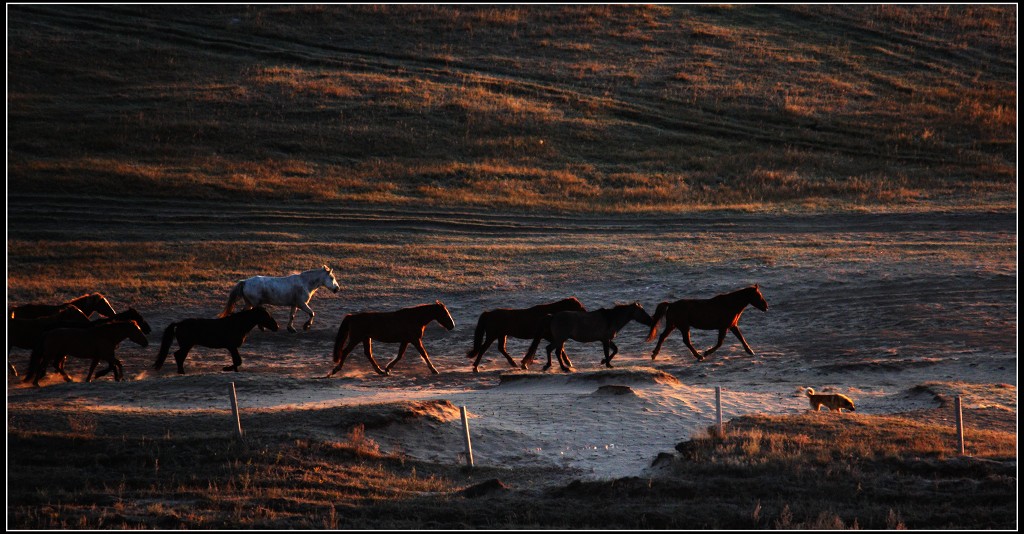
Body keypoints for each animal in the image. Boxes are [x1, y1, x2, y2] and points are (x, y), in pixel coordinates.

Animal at [327, 301, 456, 377]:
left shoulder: (406, 340)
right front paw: (434, 370)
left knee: (368, 354)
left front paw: (388, 368)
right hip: (356, 338)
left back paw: (380, 371)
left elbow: (400, 355)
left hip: (365, 338)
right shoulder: (414, 340)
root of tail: (351, 317)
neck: (414, 318)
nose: (452, 325)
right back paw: (335, 370)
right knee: (345, 352)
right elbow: (424, 354)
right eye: (445, 313)